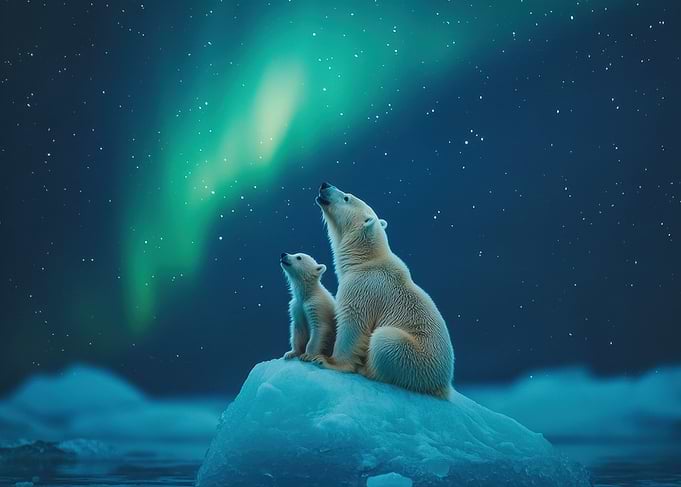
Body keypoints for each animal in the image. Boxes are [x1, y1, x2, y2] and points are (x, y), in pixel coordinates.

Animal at [313, 182, 455, 399]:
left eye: (346, 197)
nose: (325, 184)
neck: (365, 260)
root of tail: (443, 385)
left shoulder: (363, 286)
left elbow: (353, 323)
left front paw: (328, 361)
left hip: (416, 359)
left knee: (384, 340)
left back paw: (366, 369)